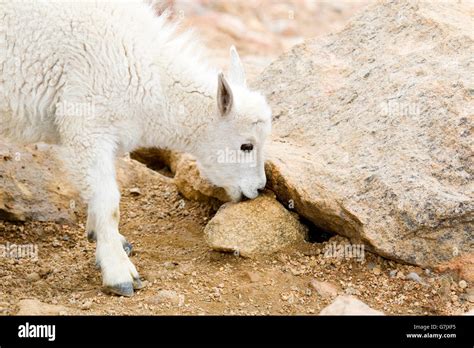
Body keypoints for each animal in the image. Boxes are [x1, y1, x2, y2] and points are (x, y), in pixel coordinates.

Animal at [0, 2, 270, 296]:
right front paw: (119, 274)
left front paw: (104, 238)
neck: (148, 74)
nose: (258, 189)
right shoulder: (87, 124)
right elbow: (109, 201)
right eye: (246, 145)